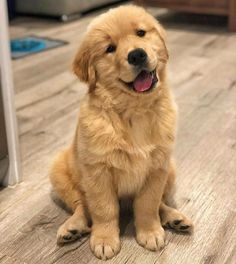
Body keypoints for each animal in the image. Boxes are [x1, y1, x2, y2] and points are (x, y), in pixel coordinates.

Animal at [49, 4, 192, 260]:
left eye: (141, 33)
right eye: (110, 49)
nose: (137, 55)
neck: (134, 110)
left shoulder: (157, 167)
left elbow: (148, 204)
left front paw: (150, 232)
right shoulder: (98, 172)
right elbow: (103, 209)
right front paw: (105, 240)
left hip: (170, 169)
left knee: (160, 203)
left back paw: (175, 218)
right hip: (59, 171)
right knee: (80, 205)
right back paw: (72, 227)